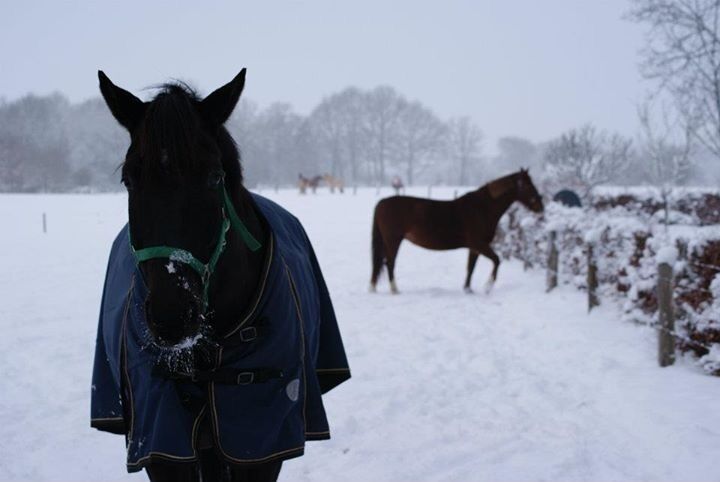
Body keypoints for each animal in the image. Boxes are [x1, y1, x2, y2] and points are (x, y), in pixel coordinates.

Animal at [370, 169, 544, 294]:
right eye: (527, 185)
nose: (540, 206)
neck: (482, 209)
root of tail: (382, 203)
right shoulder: (479, 244)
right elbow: (496, 260)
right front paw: (488, 287)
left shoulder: (474, 248)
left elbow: (470, 268)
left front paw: (468, 289)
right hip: (393, 240)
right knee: (389, 262)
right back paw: (394, 290)